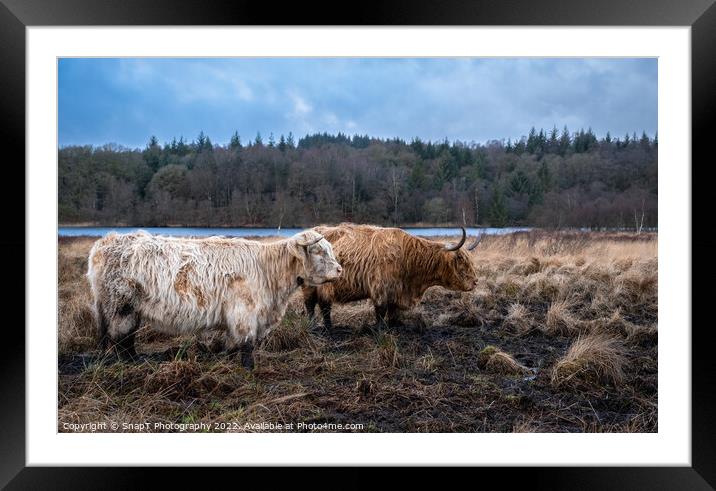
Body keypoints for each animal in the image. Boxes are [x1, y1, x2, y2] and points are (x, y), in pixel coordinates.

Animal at [302, 225, 482, 328]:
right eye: (460, 259)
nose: (475, 282)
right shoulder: (380, 289)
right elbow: (381, 312)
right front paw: (380, 330)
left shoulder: (396, 292)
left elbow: (393, 311)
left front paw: (395, 326)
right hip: (310, 285)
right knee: (312, 305)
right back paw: (315, 327)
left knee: (324, 305)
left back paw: (327, 326)